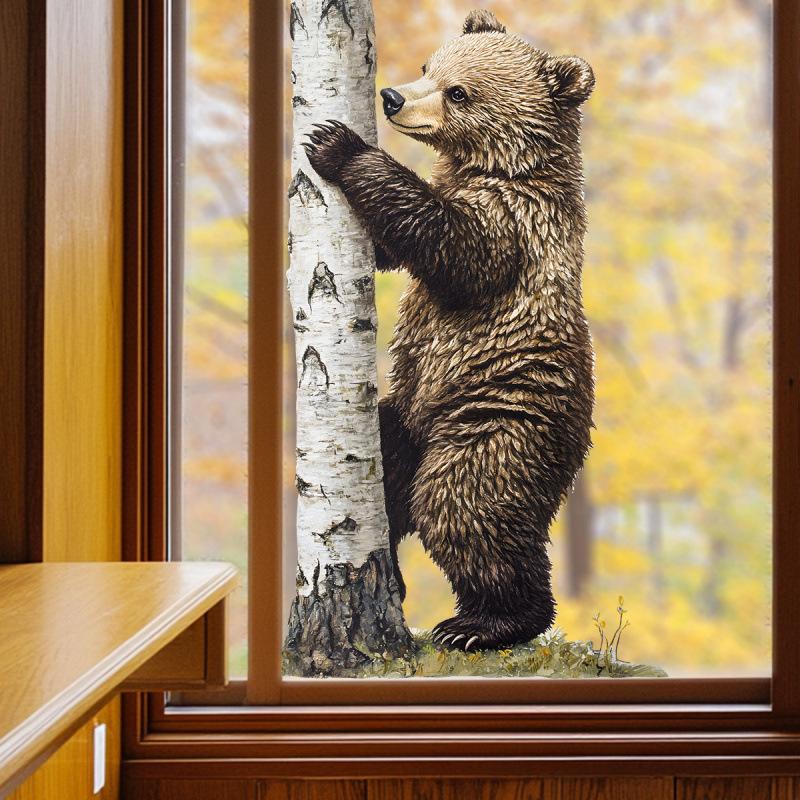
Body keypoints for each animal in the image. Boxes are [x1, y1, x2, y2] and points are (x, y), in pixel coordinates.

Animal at [304, 9, 595, 651]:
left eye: (459, 92)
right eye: (426, 66)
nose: (390, 97)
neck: (493, 165)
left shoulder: (515, 220)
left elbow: (452, 249)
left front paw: (337, 144)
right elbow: (392, 249)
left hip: (499, 417)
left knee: (462, 505)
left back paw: (487, 623)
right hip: (408, 410)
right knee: (387, 469)